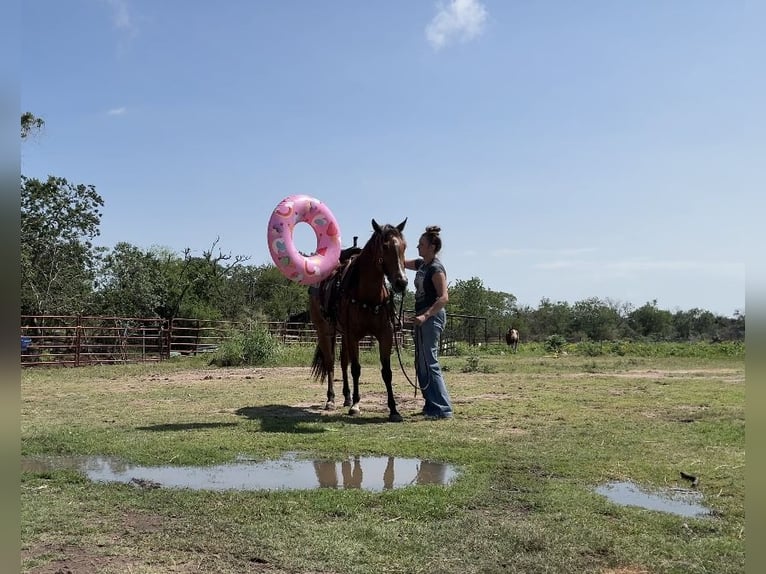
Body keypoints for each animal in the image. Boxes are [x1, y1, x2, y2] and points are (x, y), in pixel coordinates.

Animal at [309, 218, 408, 422]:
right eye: (384, 246)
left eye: (404, 246)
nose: (401, 282)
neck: (369, 295)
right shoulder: (353, 335)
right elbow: (356, 368)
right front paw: (356, 405)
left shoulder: (385, 335)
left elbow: (386, 372)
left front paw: (394, 410)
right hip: (325, 331)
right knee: (331, 363)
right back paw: (331, 400)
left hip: (343, 335)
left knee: (343, 362)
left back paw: (346, 397)